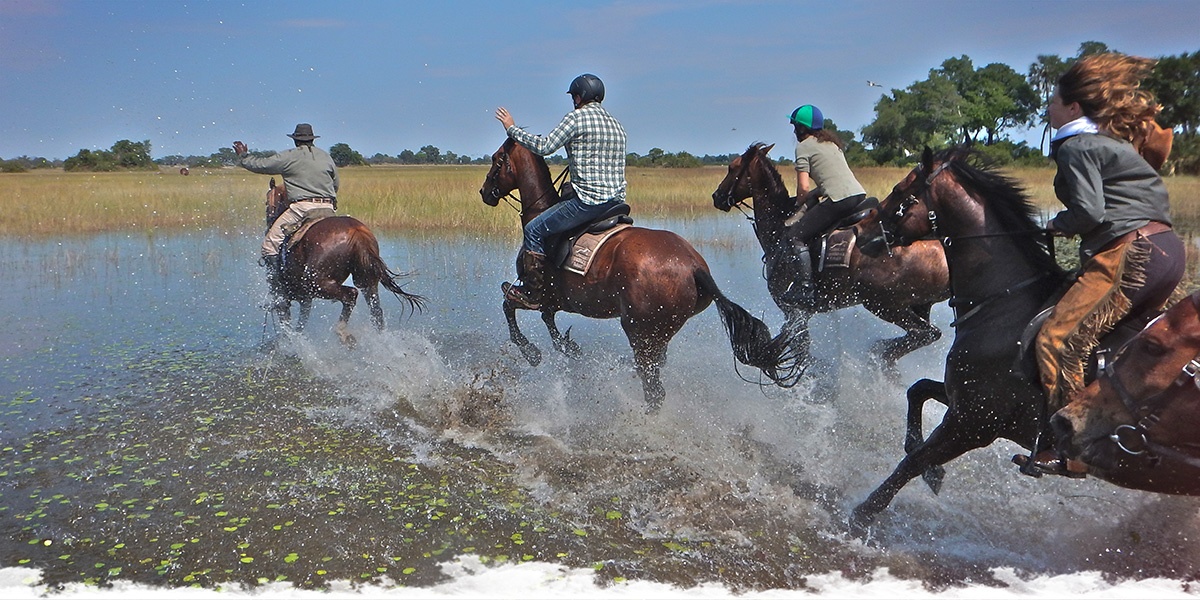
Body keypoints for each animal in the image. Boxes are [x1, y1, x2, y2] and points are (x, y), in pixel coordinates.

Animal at [267, 177, 427, 348]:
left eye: (266, 202)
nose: (270, 220)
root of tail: (357, 233)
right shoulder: (305, 298)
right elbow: (300, 323)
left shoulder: (285, 298)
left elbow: (289, 324)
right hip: (366, 280)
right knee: (376, 312)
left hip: (316, 283)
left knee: (350, 295)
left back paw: (343, 333)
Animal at [480, 139, 806, 412]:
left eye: (497, 160)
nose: (484, 193)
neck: (541, 211)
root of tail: (694, 266)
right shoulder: (555, 299)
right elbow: (548, 320)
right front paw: (568, 347)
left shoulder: (535, 292)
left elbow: (509, 304)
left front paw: (532, 353)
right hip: (661, 332)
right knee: (654, 373)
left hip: (639, 330)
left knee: (653, 386)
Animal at [710, 142, 945, 372]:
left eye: (732, 168)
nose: (717, 196)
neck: (779, 230)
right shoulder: (800, 314)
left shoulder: (794, 311)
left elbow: (801, 352)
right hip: (916, 304)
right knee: (926, 334)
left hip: (885, 304)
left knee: (925, 333)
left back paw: (878, 355)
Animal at [844, 145, 1161, 530]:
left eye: (901, 190)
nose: (860, 230)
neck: (1002, 305)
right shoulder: (966, 404)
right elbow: (917, 391)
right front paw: (930, 470)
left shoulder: (972, 425)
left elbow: (913, 462)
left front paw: (863, 515)